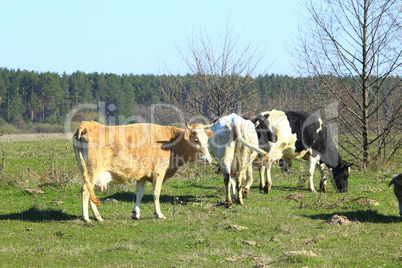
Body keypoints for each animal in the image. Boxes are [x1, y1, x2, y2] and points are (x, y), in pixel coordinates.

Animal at [72, 120, 214, 221]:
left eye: (206, 140)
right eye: (196, 140)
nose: (208, 159)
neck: (170, 142)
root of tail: (86, 125)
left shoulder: (142, 176)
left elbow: (139, 194)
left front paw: (136, 213)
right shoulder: (159, 172)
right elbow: (156, 193)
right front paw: (159, 214)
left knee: (90, 192)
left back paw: (97, 217)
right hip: (93, 170)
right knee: (86, 190)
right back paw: (86, 218)